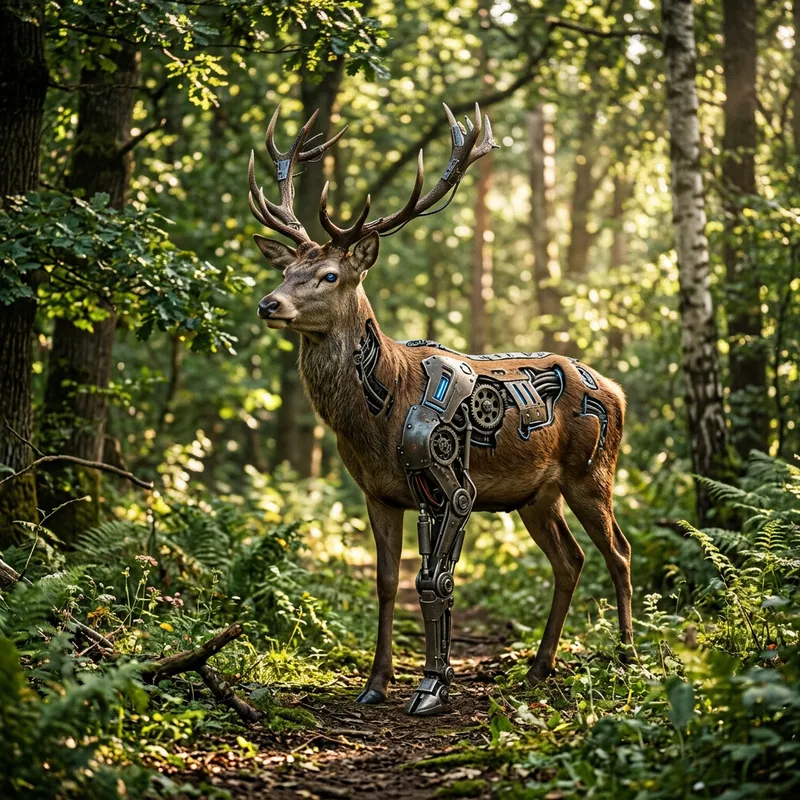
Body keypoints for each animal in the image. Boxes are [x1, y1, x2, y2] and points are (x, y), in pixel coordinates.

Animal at [248, 103, 632, 716]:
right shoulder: (377, 492)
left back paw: (627, 655)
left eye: (330, 275)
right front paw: (376, 683)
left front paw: (432, 686)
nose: (269, 304)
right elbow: (387, 582)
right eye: (286, 272)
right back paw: (539, 667)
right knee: (570, 560)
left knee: (617, 551)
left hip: (593, 471)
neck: (378, 411)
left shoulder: (449, 484)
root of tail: (615, 390)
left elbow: (434, 581)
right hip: (536, 496)